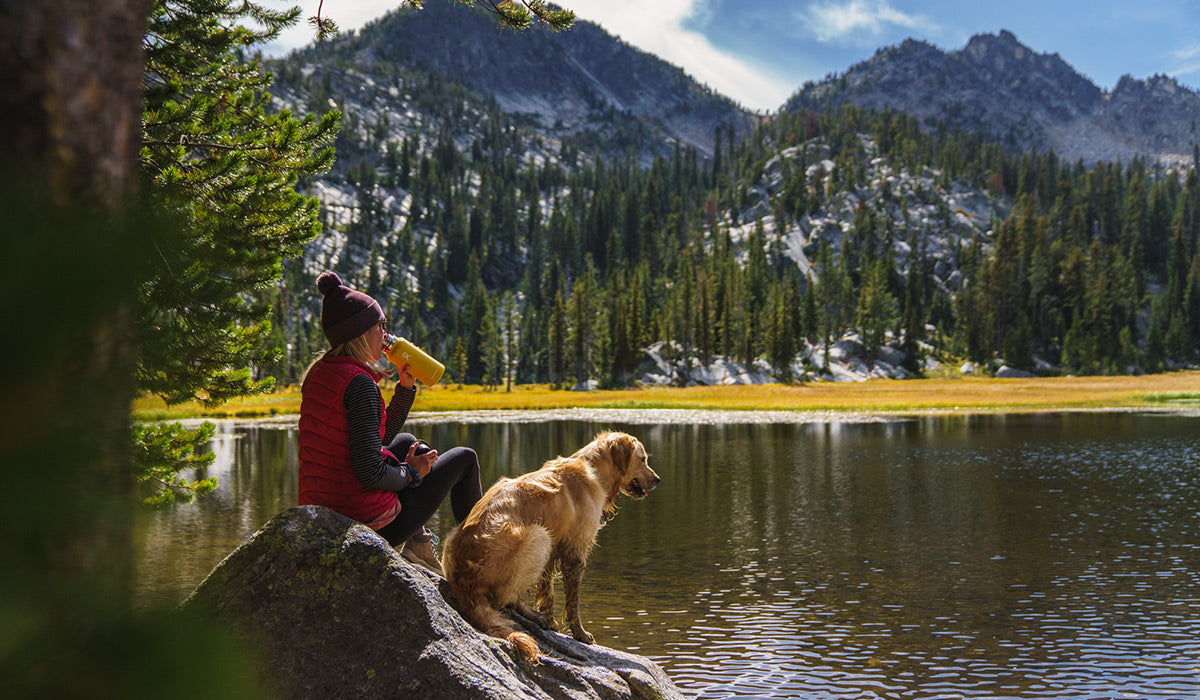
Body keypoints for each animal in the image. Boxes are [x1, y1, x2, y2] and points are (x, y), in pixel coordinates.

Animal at [446, 429, 662, 667]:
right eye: (643, 459)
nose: (658, 480)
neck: (595, 469)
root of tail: (464, 582)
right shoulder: (575, 553)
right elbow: (573, 603)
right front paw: (580, 633)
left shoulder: (554, 551)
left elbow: (547, 592)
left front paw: (550, 618)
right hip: (539, 536)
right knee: (507, 599)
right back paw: (535, 617)